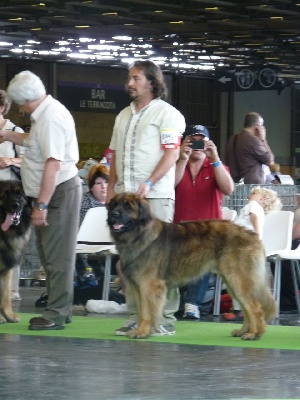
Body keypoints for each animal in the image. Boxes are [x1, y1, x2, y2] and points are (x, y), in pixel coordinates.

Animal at [107, 194, 276, 340]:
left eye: (128, 207)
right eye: (115, 205)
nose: (114, 215)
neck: (139, 234)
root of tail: (251, 234)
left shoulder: (149, 285)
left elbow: (148, 312)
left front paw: (142, 332)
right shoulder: (138, 286)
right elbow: (142, 311)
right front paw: (140, 329)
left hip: (238, 280)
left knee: (255, 308)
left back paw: (254, 334)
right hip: (232, 282)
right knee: (247, 308)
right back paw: (243, 331)